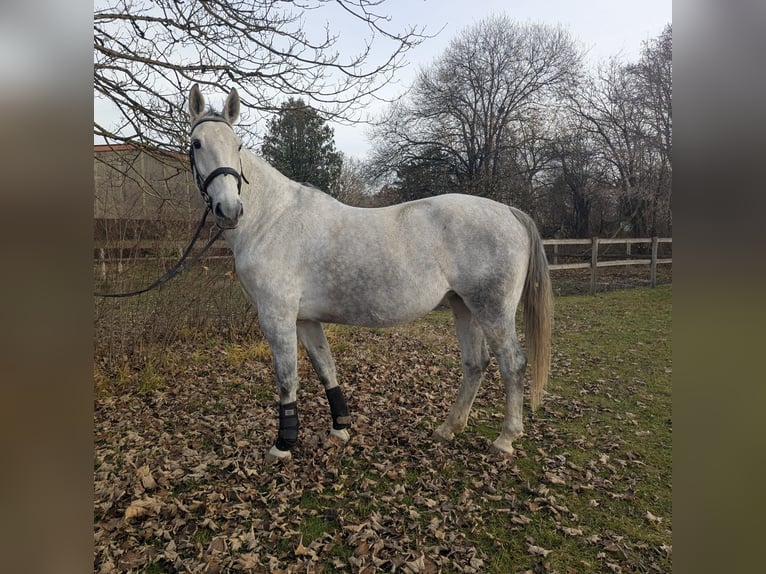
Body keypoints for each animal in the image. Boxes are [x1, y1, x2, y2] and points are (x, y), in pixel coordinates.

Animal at [187, 84, 553, 463]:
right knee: (475, 364)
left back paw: (505, 439)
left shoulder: (277, 316)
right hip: (463, 305)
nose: (229, 210)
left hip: (492, 309)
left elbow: (287, 379)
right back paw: (448, 428)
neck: (272, 219)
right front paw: (339, 429)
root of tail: (510, 211)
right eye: (197, 143)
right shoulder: (305, 319)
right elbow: (326, 368)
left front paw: (283, 445)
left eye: (237, 145)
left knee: (512, 364)